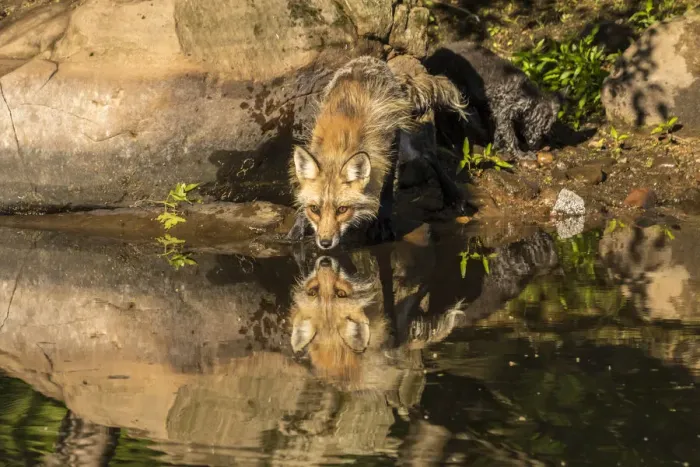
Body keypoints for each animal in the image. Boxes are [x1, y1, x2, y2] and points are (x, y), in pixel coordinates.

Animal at [287, 55, 467, 250]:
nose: (325, 243)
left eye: (342, 209)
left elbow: (386, 189)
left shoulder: (387, 150)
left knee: (430, 156)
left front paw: (382, 223)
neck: (340, 144)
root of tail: (370, 59)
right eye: (315, 209)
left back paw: (452, 195)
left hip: (408, 145)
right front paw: (298, 228)